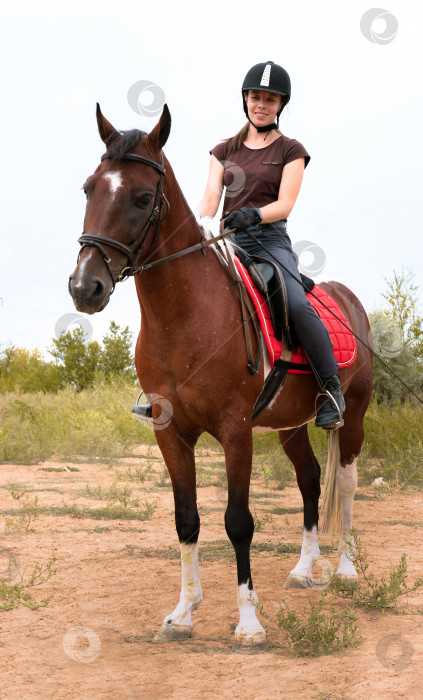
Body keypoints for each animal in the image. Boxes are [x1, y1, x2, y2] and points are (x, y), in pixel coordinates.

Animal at [69, 104, 374, 652]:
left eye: (142, 197)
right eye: (89, 188)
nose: (85, 287)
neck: (186, 317)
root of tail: (348, 299)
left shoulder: (236, 431)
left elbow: (238, 522)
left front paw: (249, 623)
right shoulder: (170, 433)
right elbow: (186, 520)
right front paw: (182, 613)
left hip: (352, 418)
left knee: (345, 482)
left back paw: (344, 569)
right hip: (292, 425)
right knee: (310, 479)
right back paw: (304, 569)